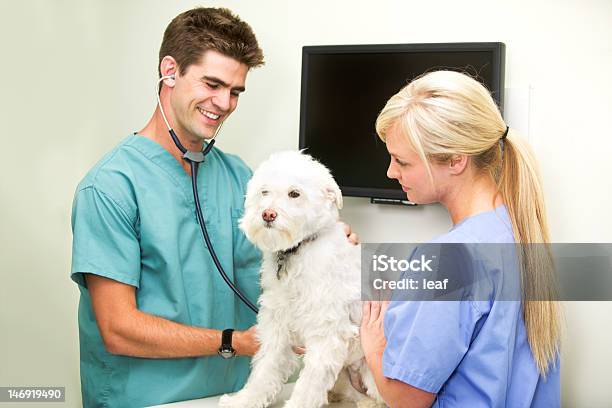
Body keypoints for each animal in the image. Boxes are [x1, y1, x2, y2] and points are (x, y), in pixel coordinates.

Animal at [219, 151, 382, 406]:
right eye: (264, 192)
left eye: (294, 193)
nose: (268, 214)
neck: (296, 252)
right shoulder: (277, 329)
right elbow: (264, 372)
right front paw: (243, 401)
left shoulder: (326, 337)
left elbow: (308, 387)